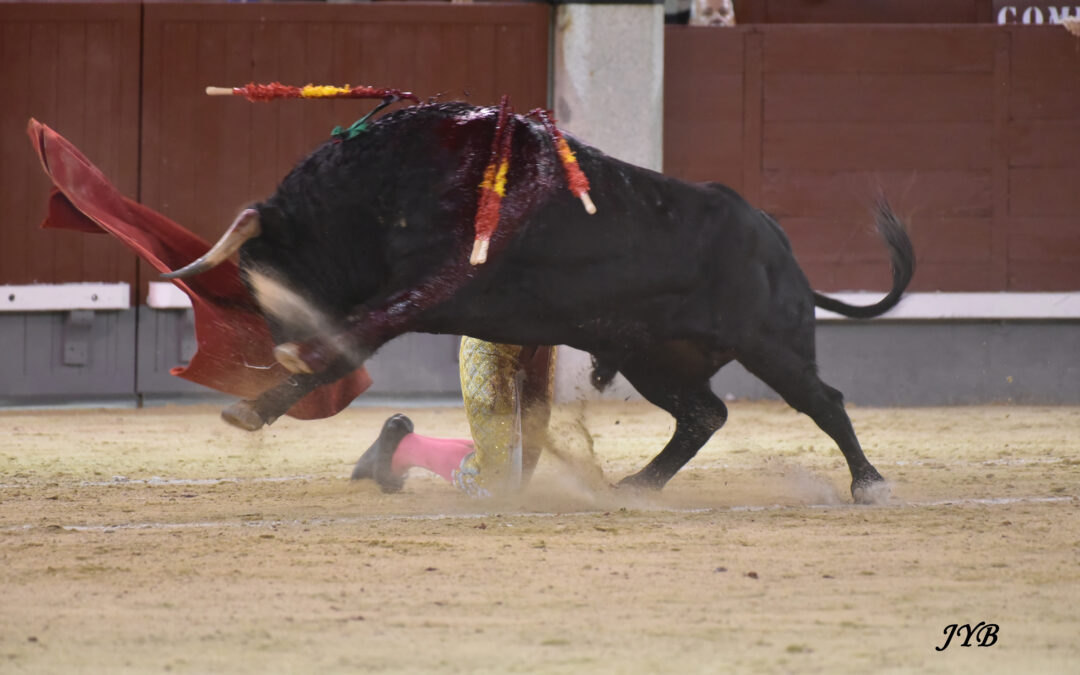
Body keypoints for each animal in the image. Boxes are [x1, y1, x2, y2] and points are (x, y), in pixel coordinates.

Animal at [166, 99, 911, 501]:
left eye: (265, 270)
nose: (275, 339)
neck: (382, 182)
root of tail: (774, 236)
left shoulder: (432, 281)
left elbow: (357, 331)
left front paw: (275, 381)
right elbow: (347, 345)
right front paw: (258, 404)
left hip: (771, 345)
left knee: (823, 401)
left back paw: (869, 484)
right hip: (655, 358)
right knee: (705, 414)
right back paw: (638, 486)